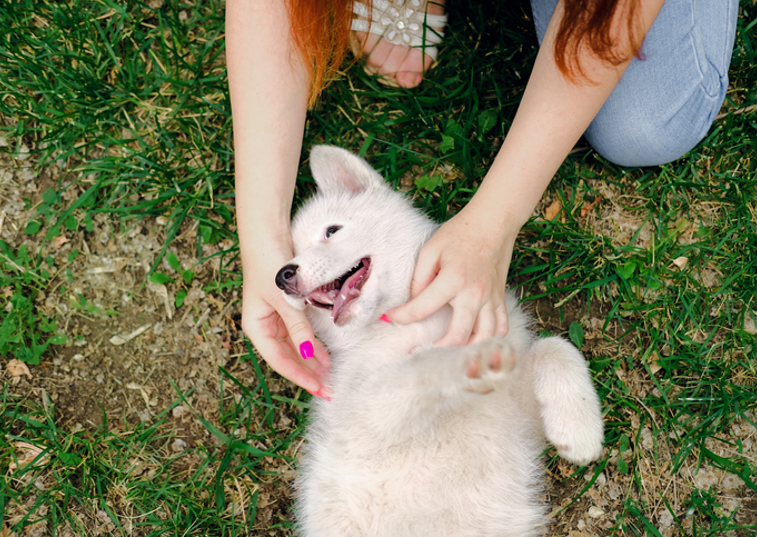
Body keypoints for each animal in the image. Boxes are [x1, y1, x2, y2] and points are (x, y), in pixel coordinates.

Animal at [274, 146, 600, 536]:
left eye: (331, 231)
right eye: (289, 257)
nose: (282, 275)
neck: (400, 322)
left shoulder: (517, 411)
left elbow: (556, 348)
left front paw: (579, 429)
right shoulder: (360, 416)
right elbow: (422, 365)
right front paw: (464, 359)